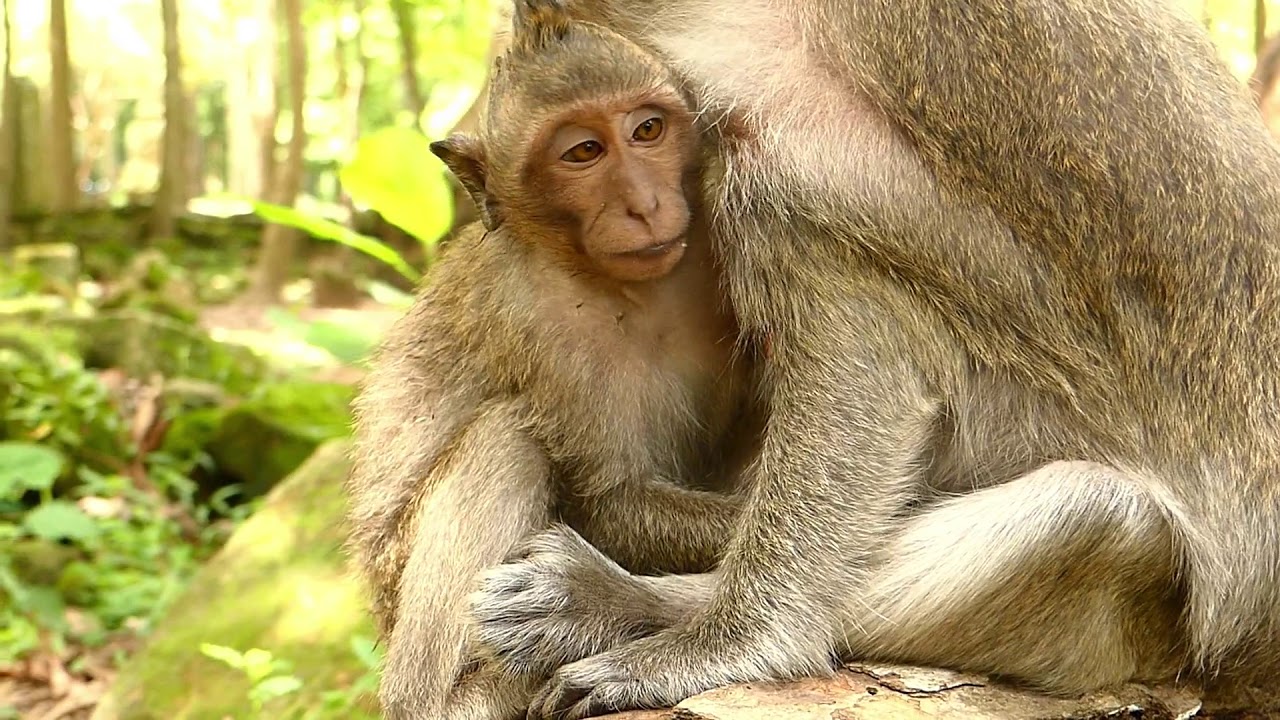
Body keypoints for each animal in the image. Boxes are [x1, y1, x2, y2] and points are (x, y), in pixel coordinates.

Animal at [342, 6, 763, 718]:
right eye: (583, 152)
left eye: (647, 130)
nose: (644, 205)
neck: (628, 291)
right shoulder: (539, 321)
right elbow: (614, 502)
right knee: (506, 436)